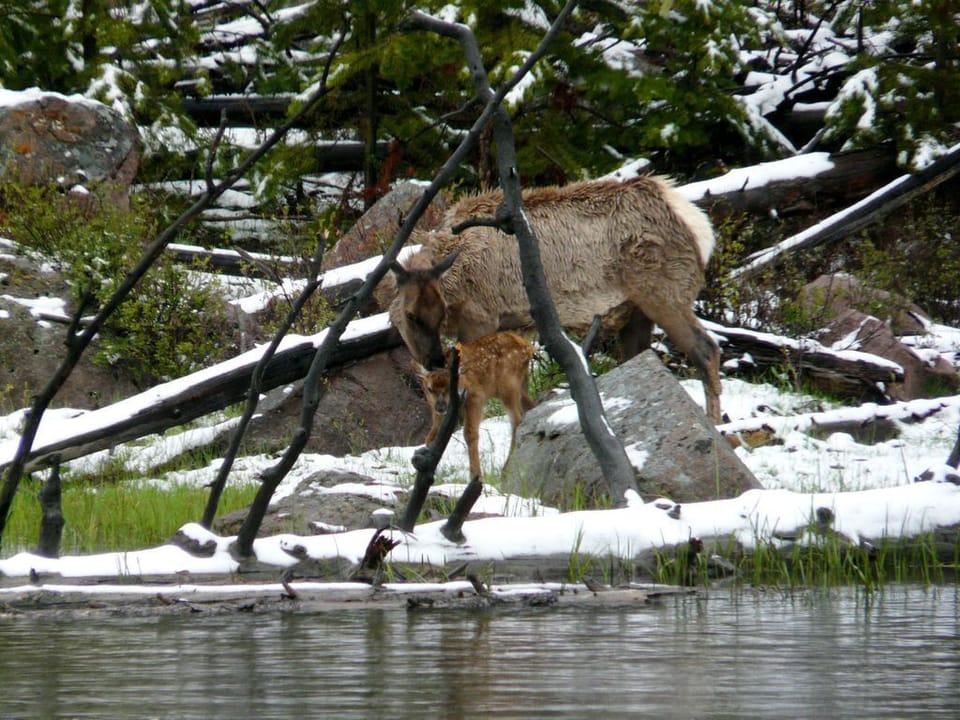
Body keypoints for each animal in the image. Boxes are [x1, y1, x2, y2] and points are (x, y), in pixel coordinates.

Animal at [387, 176, 723, 423]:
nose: (432, 358)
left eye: (438, 311)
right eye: (411, 315)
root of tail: (700, 227)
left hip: (666, 295)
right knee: (640, 356)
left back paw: (715, 423)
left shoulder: (481, 318)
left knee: (707, 350)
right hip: (637, 311)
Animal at [413, 331, 536, 481]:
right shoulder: (435, 409)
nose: (440, 406)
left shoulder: (475, 396)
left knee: (517, 420)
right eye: (430, 389)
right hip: (519, 386)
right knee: (531, 407)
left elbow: (470, 434)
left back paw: (506, 470)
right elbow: (430, 437)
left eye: (449, 387)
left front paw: (476, 474)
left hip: (508, 385)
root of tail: (528, 346)